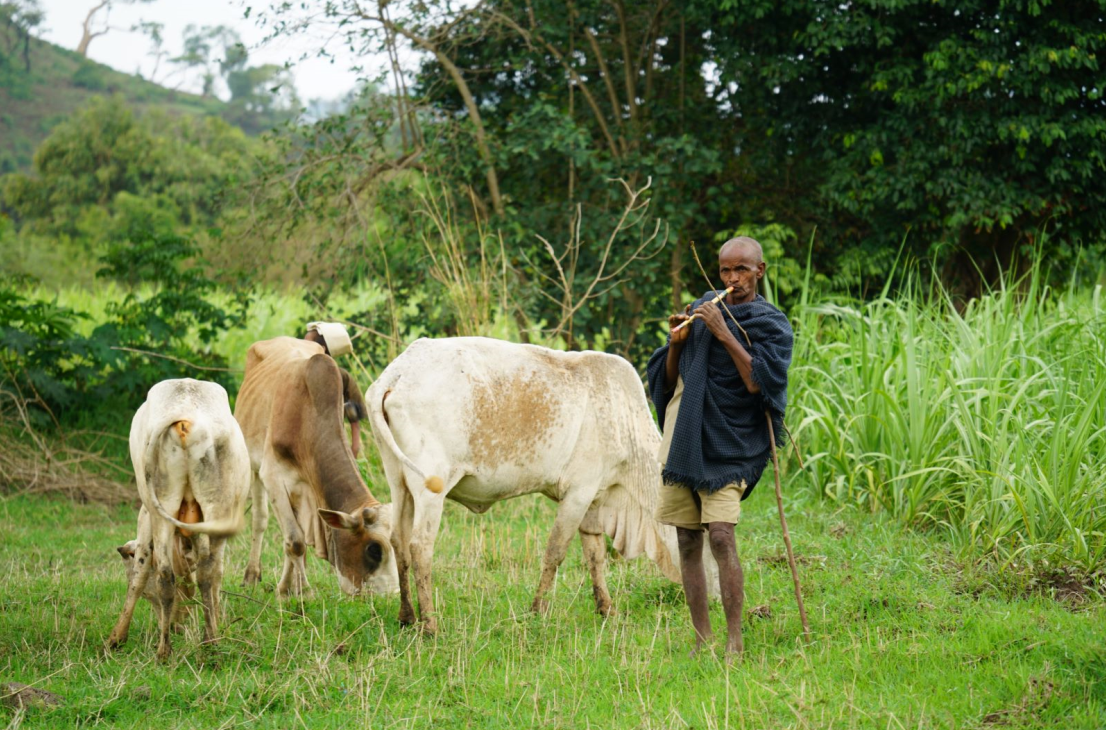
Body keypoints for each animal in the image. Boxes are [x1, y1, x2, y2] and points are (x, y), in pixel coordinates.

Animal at [107, 378, 251, 659]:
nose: (177, 625)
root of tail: (184, 414)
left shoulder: (145, 518)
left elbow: (140, 573)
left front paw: (117, 637)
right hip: (211, 506)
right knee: (199, 571)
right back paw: (206, 641)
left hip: (161, 508)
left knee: (170, 572)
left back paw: (169, 648)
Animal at [367, 336, 721, 632]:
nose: (716, 599)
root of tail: (397, 374)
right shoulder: (578, 492)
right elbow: (556, 551)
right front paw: (539, 610)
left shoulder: (593, 499)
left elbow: (595, 555)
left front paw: (606, 609)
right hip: (431, 488)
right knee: (420, 547)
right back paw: (430, 625)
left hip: (399, 482)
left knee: (398, 542)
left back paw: (406, 616)